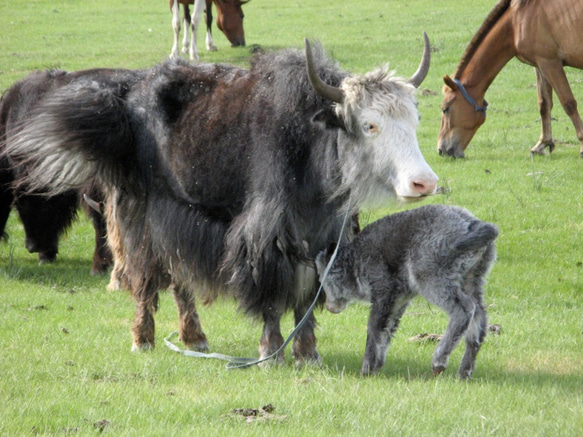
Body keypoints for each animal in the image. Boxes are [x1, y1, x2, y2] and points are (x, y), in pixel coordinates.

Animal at [6, 36, 438, 364]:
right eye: (370, 125)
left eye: (414, 121)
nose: (424, 183)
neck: (311, 145)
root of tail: (125, 98)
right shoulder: (265, 234)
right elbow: (271, 291)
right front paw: (270, 352)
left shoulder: (321, 236)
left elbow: (306, 294)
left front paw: (307, 352)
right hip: (141, 212)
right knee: (147, 277)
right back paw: (143, 338)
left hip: (179, 218)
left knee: (179, 279)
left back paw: (194, 338)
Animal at [318, 204, 500, 378]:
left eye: (322, 281)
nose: (329, 307)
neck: (356, 258)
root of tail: (473, 224)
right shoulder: (398, 302)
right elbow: (386, 333)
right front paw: (377, 366)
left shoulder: (382, 295)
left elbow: (374, 331)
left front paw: (367, 369)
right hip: (471, 279)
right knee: (479, 316)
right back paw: (465, 371)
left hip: (431, 278)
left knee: (464, 309)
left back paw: (439, 359)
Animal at [438, 0, 583, 158]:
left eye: (445, 109)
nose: (441, 150)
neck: (516, 20)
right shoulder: (540, 65)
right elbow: (544, 104)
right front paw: (542, 144)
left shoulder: (550, 63)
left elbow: (568, 104)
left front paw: (582, 145)